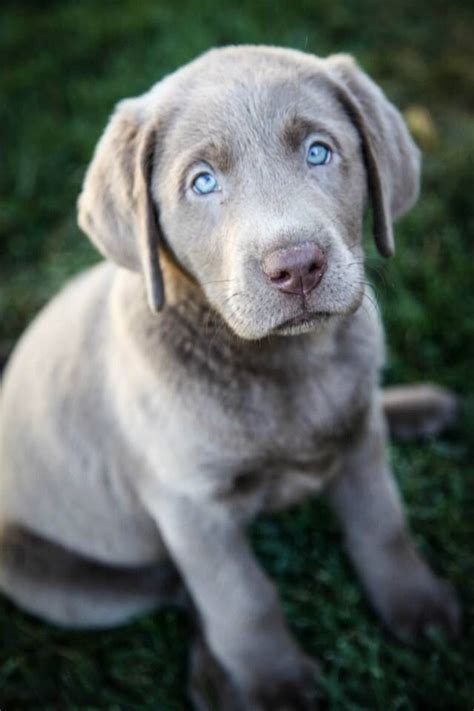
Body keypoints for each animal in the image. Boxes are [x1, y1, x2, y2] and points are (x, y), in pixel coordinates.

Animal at [0, 47, 460, 708]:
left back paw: (421, 406)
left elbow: (382, 525)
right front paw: (277, 684)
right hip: (49, 577)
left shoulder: (360, 446)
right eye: (202, 182)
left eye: (318, 151)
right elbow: (241, 598)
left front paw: (417, 606)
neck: (280, 361)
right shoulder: (191, 509)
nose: (297, 266)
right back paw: (217, 681)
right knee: (183, 593)